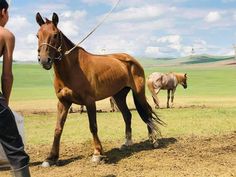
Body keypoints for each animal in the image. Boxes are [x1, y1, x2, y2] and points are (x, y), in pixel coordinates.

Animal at [36, 12, 165, 167]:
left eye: (55, 35)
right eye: (37, 35)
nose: (44, 60)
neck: (72, 68)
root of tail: (131, 60)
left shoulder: (89, 101)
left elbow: (93, 126)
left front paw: (98, 154)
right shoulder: (63, 102)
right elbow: (58, 129)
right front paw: (51, 158)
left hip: (138, 93)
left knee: (147, 112)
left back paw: (153, 140)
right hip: (118, 96)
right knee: (127, 115)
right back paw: (127, 142)